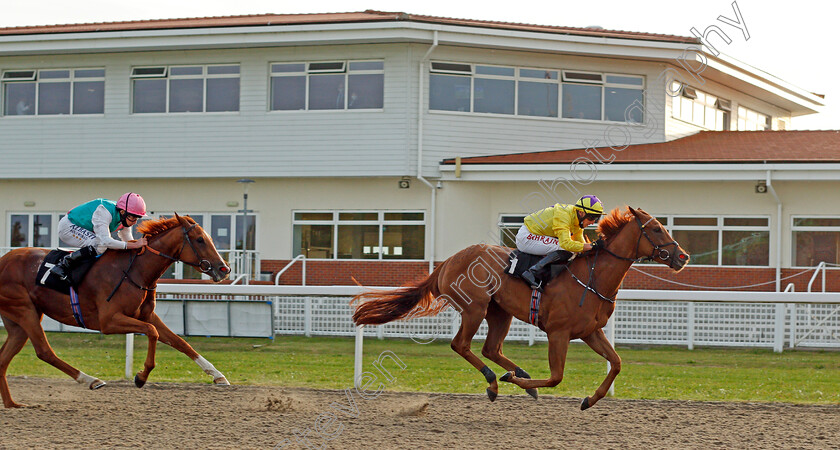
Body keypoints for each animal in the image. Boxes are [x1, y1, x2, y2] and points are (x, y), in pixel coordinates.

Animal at [0, 214, 230, 408]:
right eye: (200, 240)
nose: (224, 269)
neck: (136, 271)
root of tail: (3, 260)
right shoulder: (109, 321)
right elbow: (152, 332)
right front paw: (141, 377)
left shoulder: (147, 315)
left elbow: (180, 342)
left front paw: (218, 375)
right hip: (25, 310)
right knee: (44, 351)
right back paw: (91, 380)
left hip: (18, 322)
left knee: (4, 359)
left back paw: (12, 404)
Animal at [354, 206, 688, 410]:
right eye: (656, 229)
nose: (682, 257)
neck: (593, 277)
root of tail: (448, 261)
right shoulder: (558, 333)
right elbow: (556, 377)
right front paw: (515, 381)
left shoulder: (591, 332)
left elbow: (616, 363)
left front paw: (589, 400)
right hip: (475, 308)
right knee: (461, 345)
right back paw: (495, 381)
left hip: (499, 312)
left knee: (490, 348)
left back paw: (516, 375)